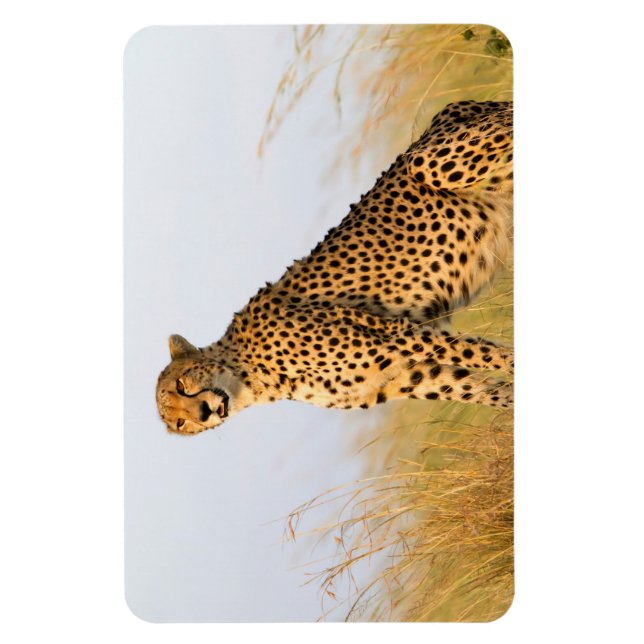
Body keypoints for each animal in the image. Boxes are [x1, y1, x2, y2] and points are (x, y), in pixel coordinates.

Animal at [156, 100, 514, 435]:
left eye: (182, 385)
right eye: (179, 423)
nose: (203, 413)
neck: (251, 376)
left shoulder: (398, 336)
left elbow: (491, 357)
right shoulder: (417, 375)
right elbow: (491, 390)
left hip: (428, 162)